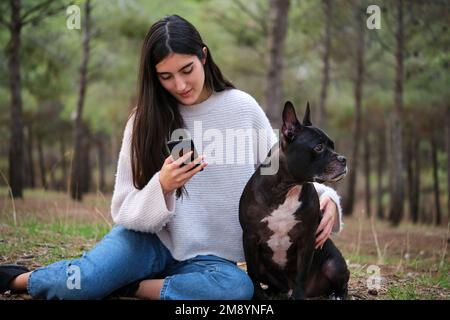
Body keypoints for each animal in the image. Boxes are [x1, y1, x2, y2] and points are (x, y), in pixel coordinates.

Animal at [239, 100, 348, 300]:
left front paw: (298, 296)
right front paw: (258, 295)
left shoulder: (307, 239)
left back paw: (337, 295)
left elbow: (301, 274)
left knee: (341, 282)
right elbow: (251, 272)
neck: (288, 189)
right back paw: (271, 291)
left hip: (334, 264)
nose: (343, 159)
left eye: (333, 146)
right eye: (319, 147)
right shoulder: (249, 237)